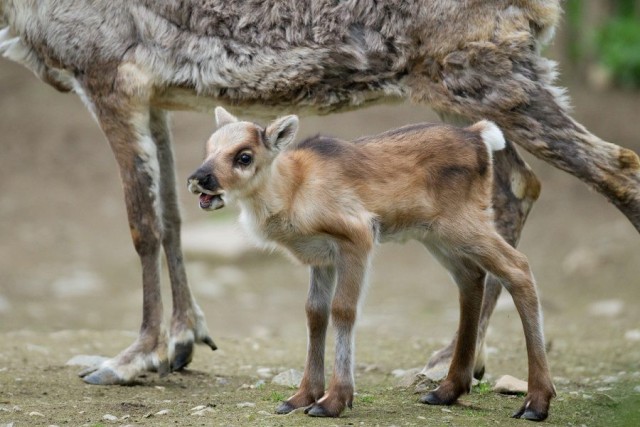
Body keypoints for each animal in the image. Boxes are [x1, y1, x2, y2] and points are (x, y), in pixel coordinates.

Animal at [186, 108, 556, 422]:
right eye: (208, 148)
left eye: (244, 156)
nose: (198, 177)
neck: (292, 191)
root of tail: (479, 135)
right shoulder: (321, 257)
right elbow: (315, 313)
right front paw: (301, 397)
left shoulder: (357, 237)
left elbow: (343, 310)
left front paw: (334, 400)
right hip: (437, 236)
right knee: (471, 277)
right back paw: (446, 390)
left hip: (464, 225)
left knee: (517, 267)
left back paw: (536, 402)